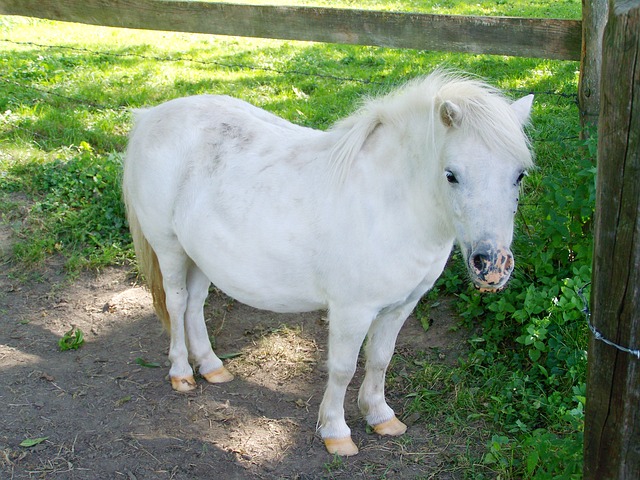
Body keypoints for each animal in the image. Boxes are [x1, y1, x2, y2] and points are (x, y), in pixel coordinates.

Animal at [122, 70, 533, 456]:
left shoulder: (400, 306)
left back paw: (211, 367)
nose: (491, 265)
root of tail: (151, 116)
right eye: (451, 175)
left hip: (200, 257)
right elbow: (343, 368)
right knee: (177, 304)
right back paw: (181, 373)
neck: (389, 203)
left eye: (519, 174)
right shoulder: (352, 310)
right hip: (170, 249)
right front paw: (336, 432)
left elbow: (380, 359)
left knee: (194, 306)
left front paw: (381, 416)